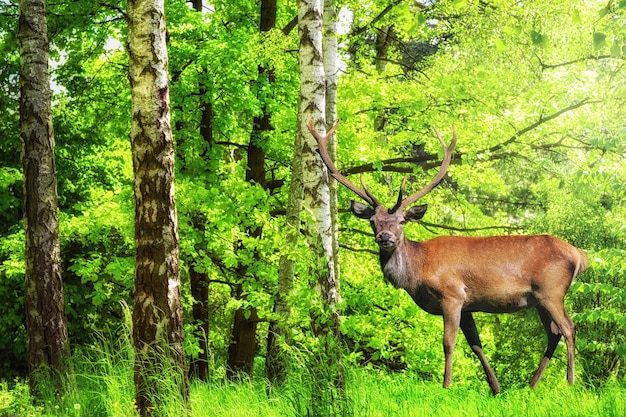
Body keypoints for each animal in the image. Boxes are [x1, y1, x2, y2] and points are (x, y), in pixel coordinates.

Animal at [308, 120, 584, 394]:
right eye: (373, 221)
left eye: (402, 221)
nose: (385, 237)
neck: (418, 272)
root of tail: (580, 256)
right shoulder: (468, 303)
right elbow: (476, 344)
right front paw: (496, 389)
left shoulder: (452, 295)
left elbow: (448, 342)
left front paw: (446, 385)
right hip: (539, 300)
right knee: (553, 333)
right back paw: (532, 385)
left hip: (552, 291)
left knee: (568, 327)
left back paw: (570, 382)